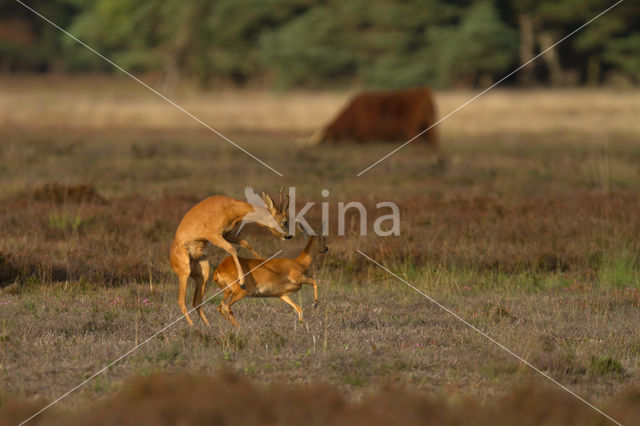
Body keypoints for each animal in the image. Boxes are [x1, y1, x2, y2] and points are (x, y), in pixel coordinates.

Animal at [170, 187, 290, 326]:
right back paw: (193, 326)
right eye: (285, 221)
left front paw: (264, 262)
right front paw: (242, 282)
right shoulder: (213, 235)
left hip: (203, 275)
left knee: (196, 302)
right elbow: (232, 250)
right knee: (181, 301)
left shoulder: (226, 234)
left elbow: (246, 244)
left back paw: (208, 326)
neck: (229, 206)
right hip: (184, 273)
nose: (288, 236)